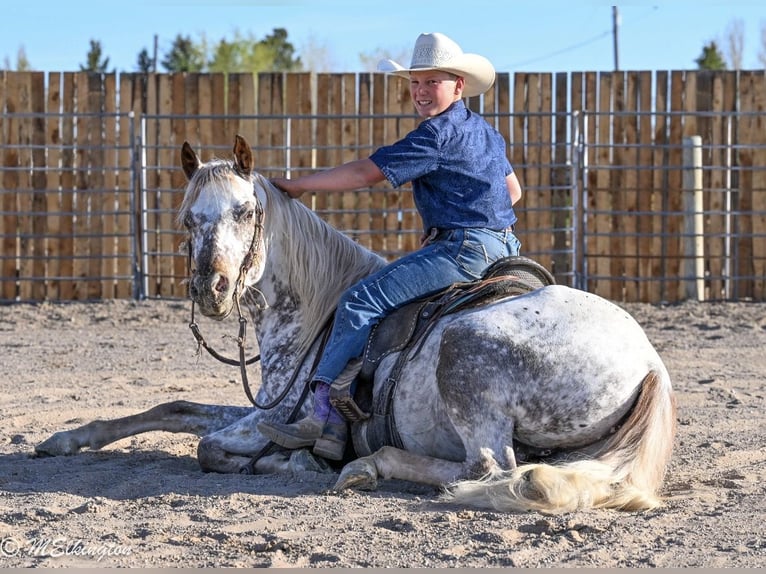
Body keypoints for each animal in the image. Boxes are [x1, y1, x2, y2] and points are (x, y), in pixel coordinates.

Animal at [36, 135, 677, 514]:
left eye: (245, 211)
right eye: (188, 218)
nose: (209, 289)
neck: (316, 312)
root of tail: (650, 364)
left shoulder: (272, 415)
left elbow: (208, 446)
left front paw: (290, 458)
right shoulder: (261, 406)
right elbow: (173, 408)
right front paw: (66, 439)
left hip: (466, 351)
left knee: (490, 467)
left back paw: (367, 464)